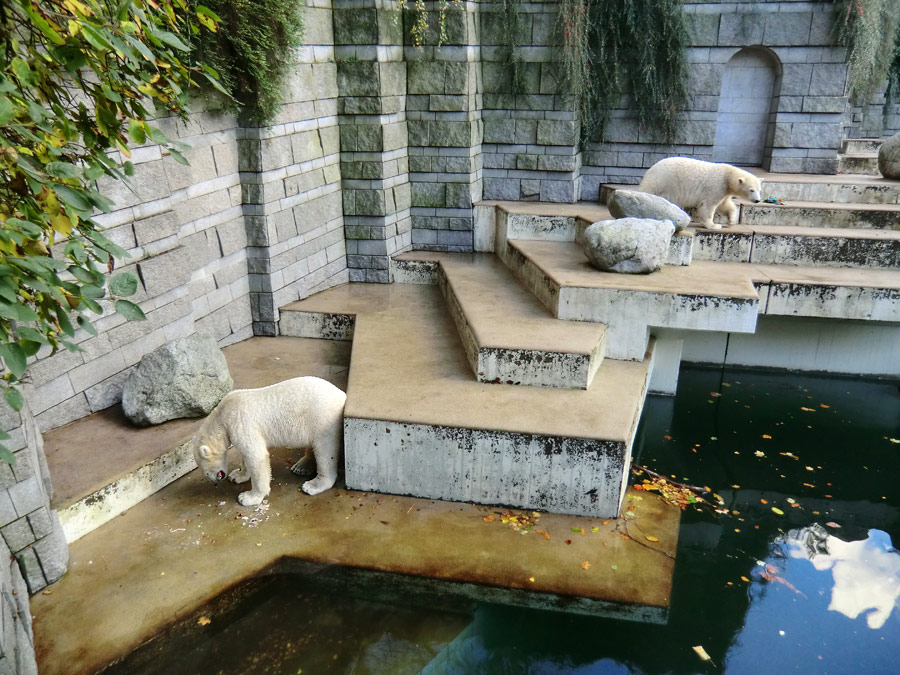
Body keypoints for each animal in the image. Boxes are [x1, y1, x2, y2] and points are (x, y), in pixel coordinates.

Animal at [192, 378, 346, 504]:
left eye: (205, 472)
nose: (215, 481)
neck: (222, 416)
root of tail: (342, 395)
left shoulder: (240, 424)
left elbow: (257, 457)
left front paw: (248, 497)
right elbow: (246, 456)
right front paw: (237, 475)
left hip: (323, 420)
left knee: (325, 452)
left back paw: (313, 485)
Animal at [636, 157, 764, 231]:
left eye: (759, 190)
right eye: (751, 190)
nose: (757, 200)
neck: (727, 176)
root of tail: (650, 169)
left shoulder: (724, 191)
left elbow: (725, 205)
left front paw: (731, 220)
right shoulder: (716, 186)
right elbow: (708, 206)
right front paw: (714, 225)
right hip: (663, 181)